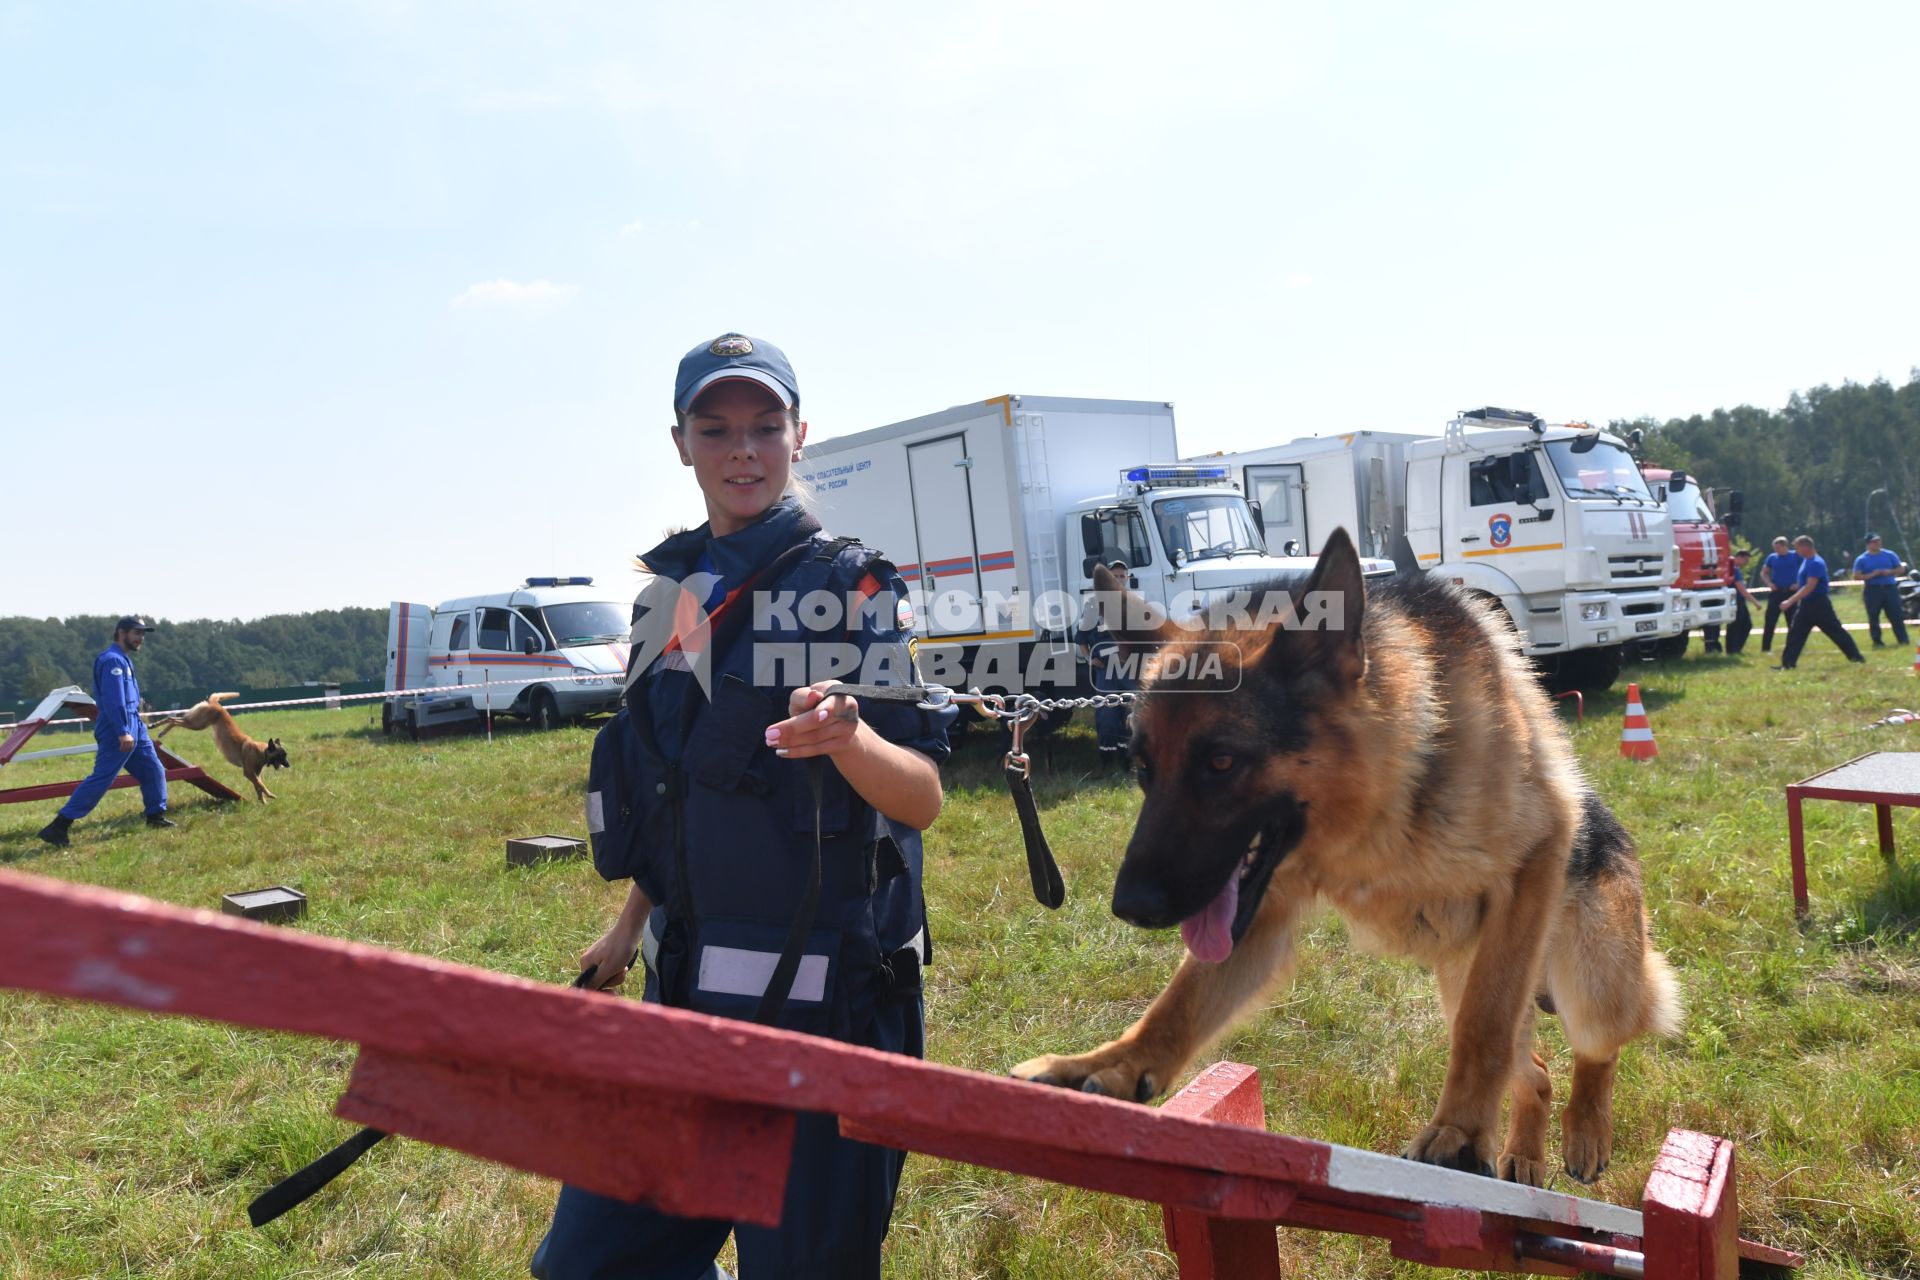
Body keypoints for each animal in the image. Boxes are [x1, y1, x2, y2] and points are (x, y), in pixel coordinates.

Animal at [155, 690, 288, 802]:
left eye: (285, 755)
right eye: (281, 755)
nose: (288, 765)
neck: (261, 751)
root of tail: (216, 704)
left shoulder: (255, 774)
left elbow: (258, 787)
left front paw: (263, 801)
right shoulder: (249, 773)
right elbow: (261, 785)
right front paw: (270, 795)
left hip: (195, 721)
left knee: (172, 718)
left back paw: (155, 726)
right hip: (198, 724)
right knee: (173, 720)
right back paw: (160, 730)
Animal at [1013, 533, 1674, 1189]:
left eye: (1221, 762)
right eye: (1142, 769)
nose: (1129, 907)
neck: (1379, 798)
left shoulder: (1537, 855)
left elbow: (1483, 1028)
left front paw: (1460, 1132)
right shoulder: (1263, 910)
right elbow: (1181, 1000)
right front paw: (1115, 1065)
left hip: (1585, 979)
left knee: (1595, 1046)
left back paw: (1585, 1130)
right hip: (1463, 981)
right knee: (1533, 1071)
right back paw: (1526, 1155)